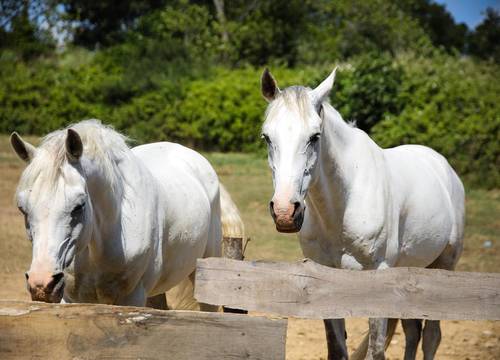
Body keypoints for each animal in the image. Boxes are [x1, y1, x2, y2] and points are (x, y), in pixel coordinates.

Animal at [260, 68, 466, 360]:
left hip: (445, 265)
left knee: (431, 338)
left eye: (314, 136)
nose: (285, 211)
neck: (341, 208)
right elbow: (337, 347)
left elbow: (376, 349)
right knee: (413, 333)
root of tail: (443, 166)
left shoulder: (378, 275)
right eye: (267, 137)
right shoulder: (324, 278)